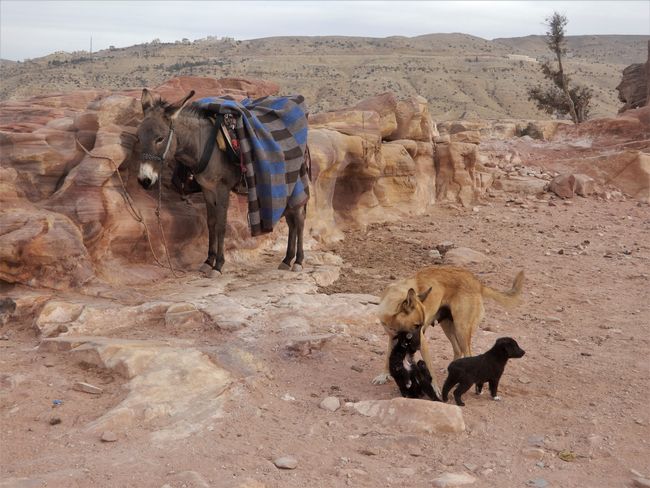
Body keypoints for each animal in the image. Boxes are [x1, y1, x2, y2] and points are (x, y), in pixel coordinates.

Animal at [372, 264, 520, 386]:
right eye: (416, 325)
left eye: (420, 326)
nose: (417, 346)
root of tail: (478, 283)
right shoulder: (392, 337)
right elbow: (387, 358)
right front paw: (384, 375)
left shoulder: (423, 343)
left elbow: (430, 371)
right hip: (448, 327)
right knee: (458, 350)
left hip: (461, 329)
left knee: (467, 353)